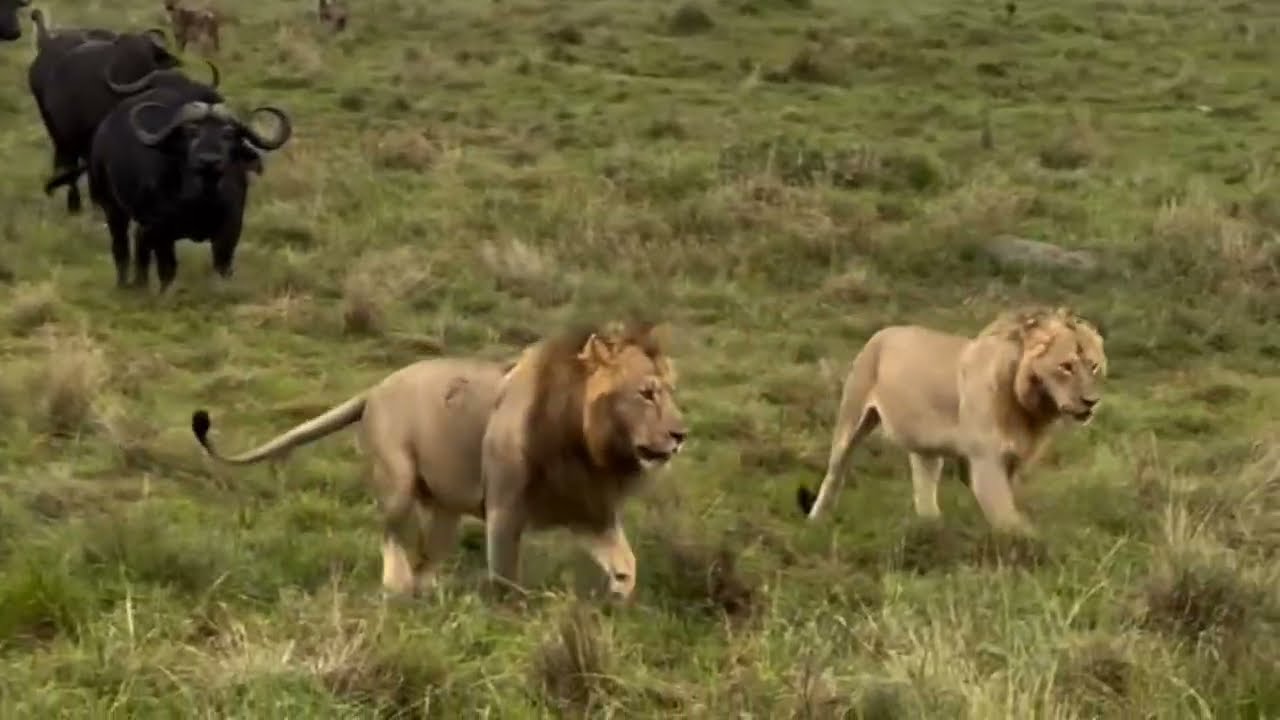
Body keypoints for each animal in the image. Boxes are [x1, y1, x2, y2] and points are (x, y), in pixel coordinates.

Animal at [190, 321, 688, 600]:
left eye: (668, 391)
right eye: (646, 393)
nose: (681, 435)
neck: (591, 447)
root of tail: (375, 388)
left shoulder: (587, 509)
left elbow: (627, 564)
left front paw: (619, 597)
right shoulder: (505, 507)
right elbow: (505, 574)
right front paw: (512, 617)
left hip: (446, 511)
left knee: (428, 561)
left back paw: (428, 595)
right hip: (398, 484)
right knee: (392, 537)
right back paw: (396, 588)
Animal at [796, 306, 1106, 533]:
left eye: (1093, 366)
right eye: (1066, 366)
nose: (1091, 401)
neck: (1032, 409)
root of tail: (883, 332)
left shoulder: (1015, 461)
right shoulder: (985, 461)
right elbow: (1008, 518)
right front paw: (1027, 542)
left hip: (926, 448)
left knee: (924, 486)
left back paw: (931, 526)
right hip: (851, 419)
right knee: (835, 473)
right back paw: (817, 519)